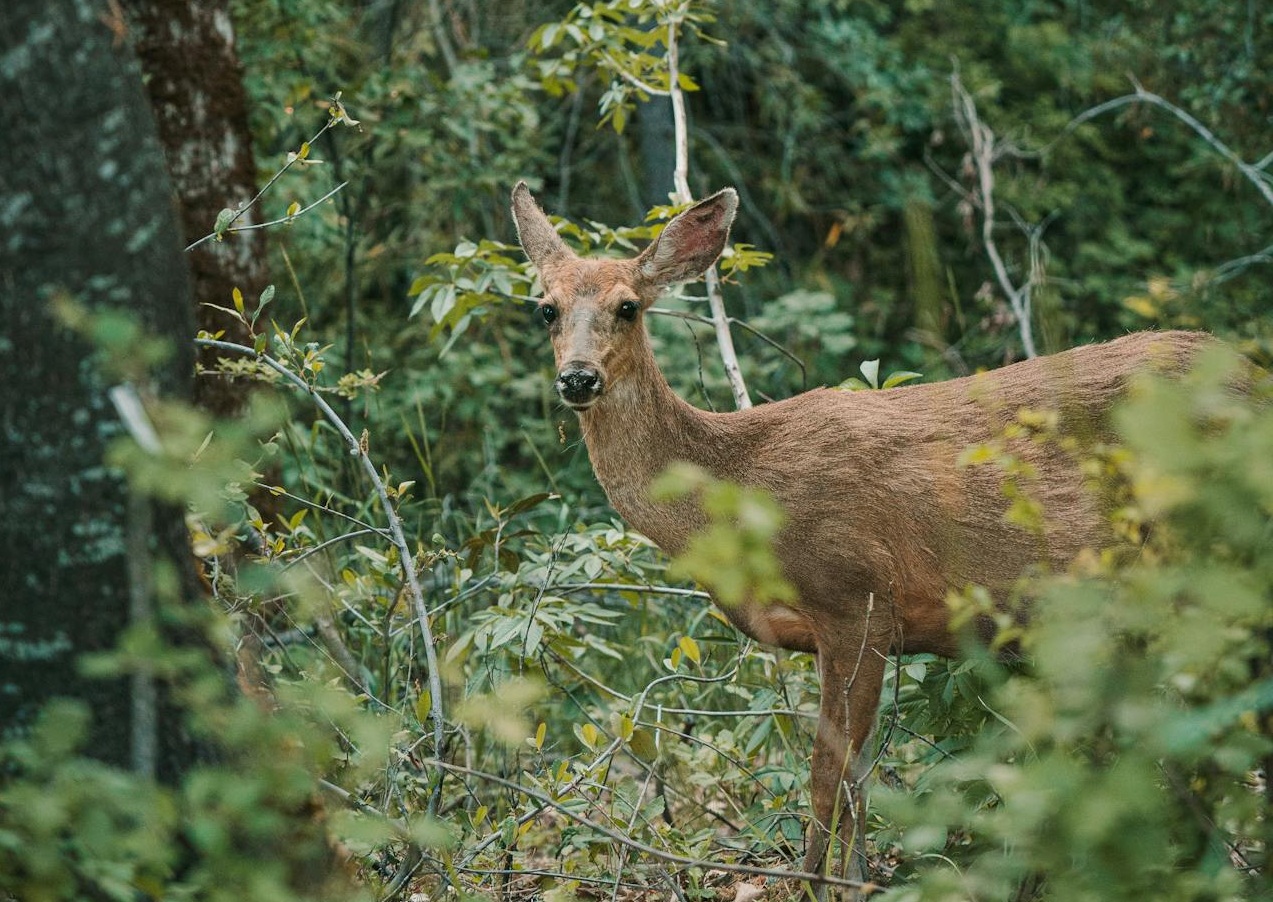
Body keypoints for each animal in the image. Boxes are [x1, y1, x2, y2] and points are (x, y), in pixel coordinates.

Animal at [510, 181, 1215, 887]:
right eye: (545, 309)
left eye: (628, 307)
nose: (578, 378)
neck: (739, 492)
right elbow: (860, 781)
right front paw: (860, 876)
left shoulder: (858, 599)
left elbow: (829, 777)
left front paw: (821, 884)